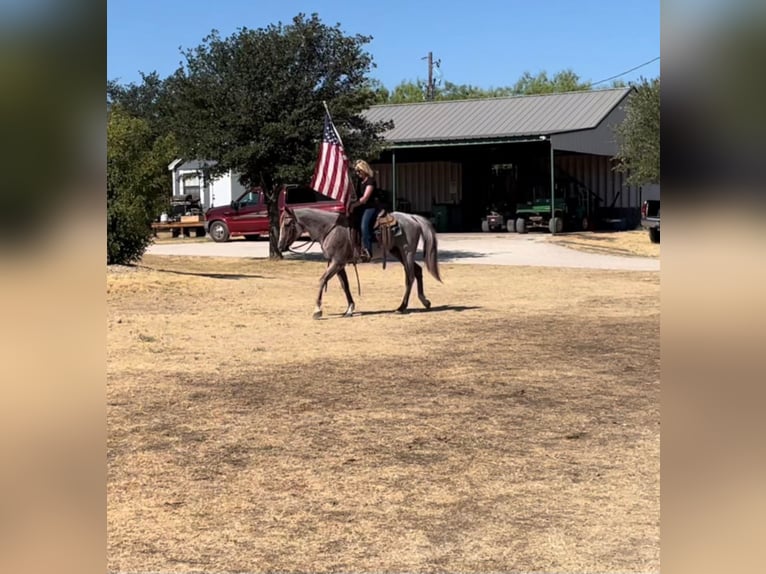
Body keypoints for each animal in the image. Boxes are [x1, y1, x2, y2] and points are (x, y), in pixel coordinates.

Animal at [278, 208, 444, 320]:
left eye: (287, 224)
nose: (280, 246)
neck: (330, 229)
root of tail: (412, 217)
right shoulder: (339, 264)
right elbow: (345, 285)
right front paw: (350, 309)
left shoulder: (336, 263)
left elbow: (322, 280)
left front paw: (317, 310)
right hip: (398, 253)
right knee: (418, 271)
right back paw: (425, 301)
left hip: (406, 253)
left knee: (409, 277)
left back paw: (402, 307)